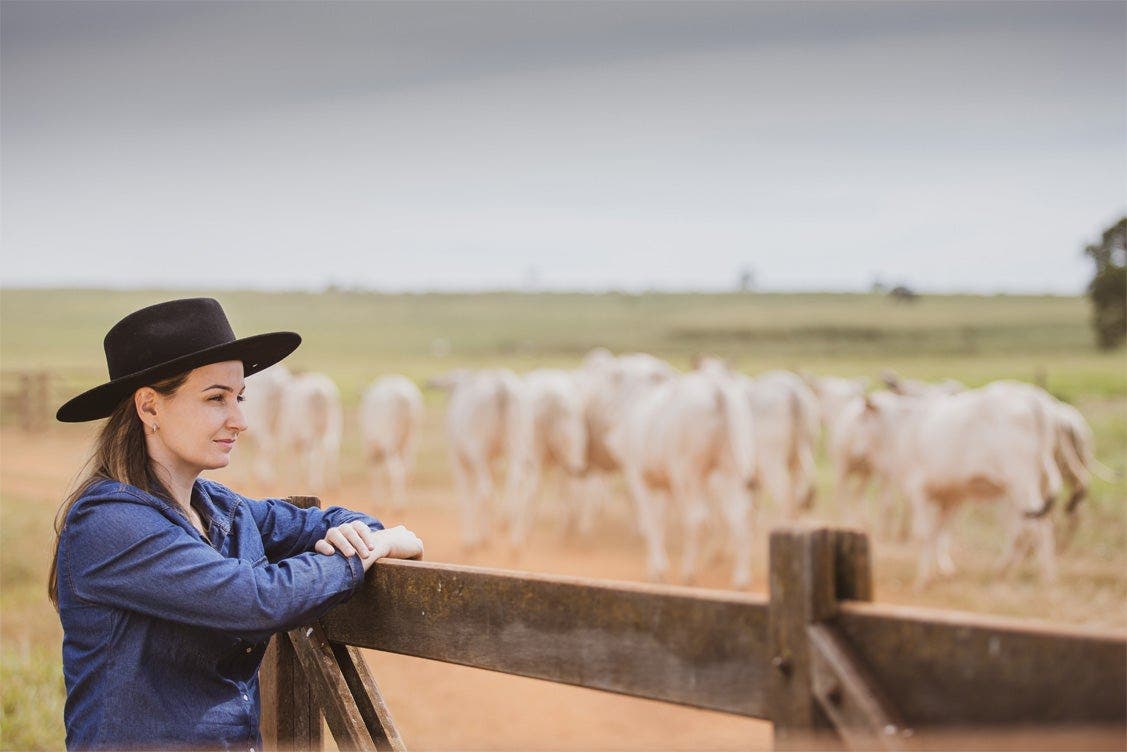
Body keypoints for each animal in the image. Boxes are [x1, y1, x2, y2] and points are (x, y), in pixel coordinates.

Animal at [360, 374, 426, 511]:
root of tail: (405, 399)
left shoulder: (370, 443)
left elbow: (375, 468)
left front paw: (378, 502)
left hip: (389, 442)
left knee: (396, 470)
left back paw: (398, 505)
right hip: (412, 439)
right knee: (408, 467)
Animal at [608, 363, 757, 586]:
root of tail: (717, 388)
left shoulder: (638, 477)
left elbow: (651, 521)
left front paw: (657, 569)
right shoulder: (665, 485)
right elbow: (661, 519)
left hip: (688, 473)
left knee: (697, 518)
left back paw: (689, 572)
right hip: (730, 470)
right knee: (739, 517)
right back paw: (741, 577)